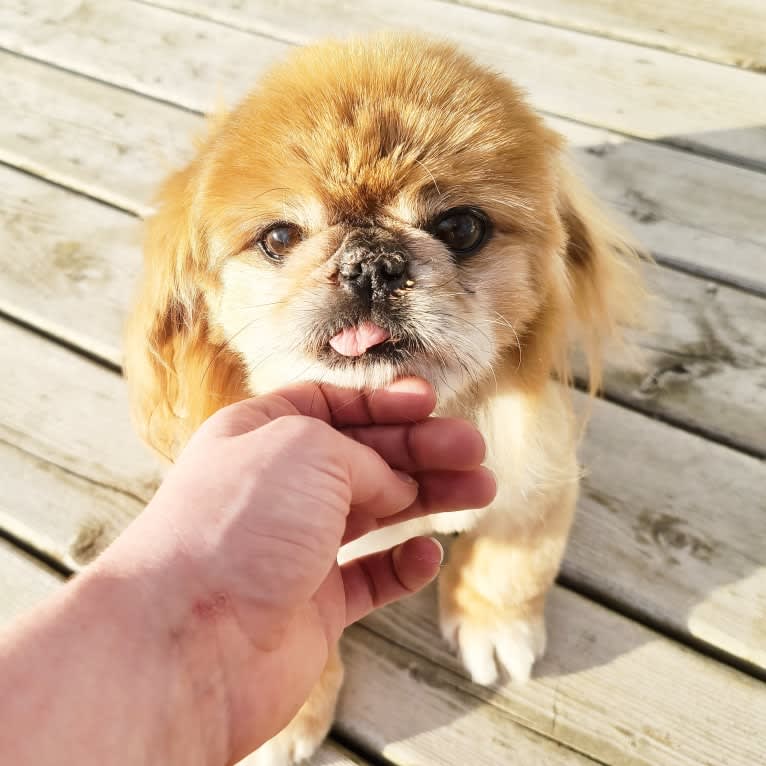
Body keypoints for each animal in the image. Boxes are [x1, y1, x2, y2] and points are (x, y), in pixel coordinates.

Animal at [123, 34, 644, 766]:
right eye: (279, 238)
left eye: (461, 227)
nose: (372, 264)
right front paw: (287, 719)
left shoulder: (540, 469)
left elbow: (514, 560)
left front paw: (493, 624)